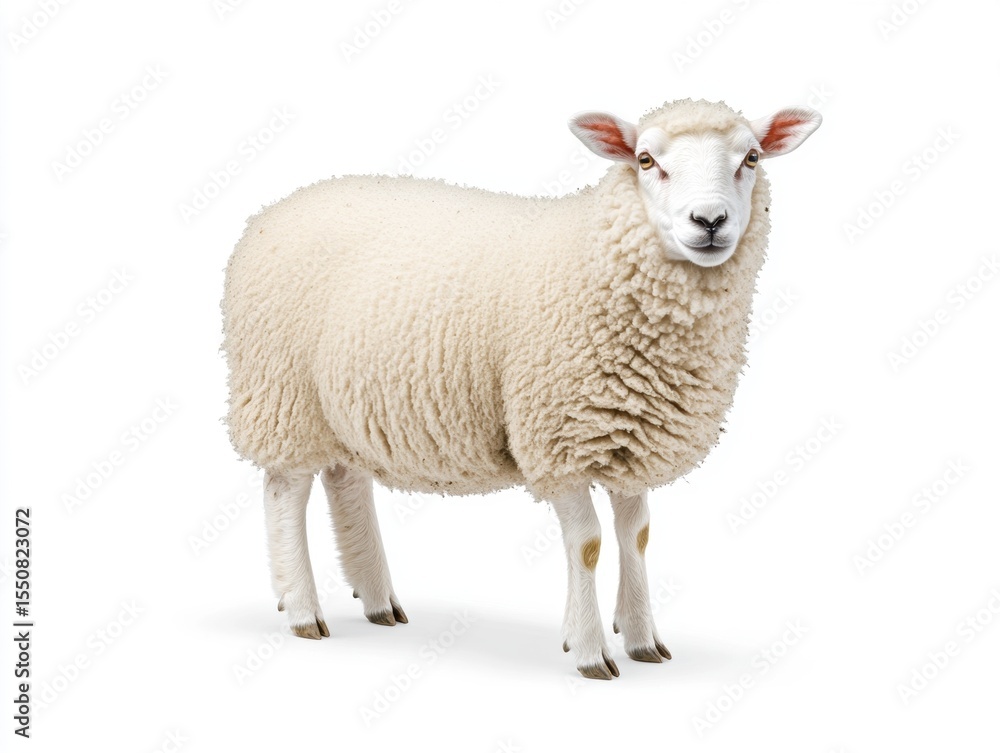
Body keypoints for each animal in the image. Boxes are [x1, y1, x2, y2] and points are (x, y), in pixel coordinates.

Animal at [222, 98, 821, 680]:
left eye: (751, 158)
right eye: (646, 160)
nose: (710, 220)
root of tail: (274, 209)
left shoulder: (631, 436)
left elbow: (637, 536)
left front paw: (642, 638)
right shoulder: (559, 436)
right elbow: (588, 545)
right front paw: (589, 650)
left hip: (341, 402)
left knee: (345, 479)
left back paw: (377, 600)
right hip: (283, 395)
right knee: (285, 492)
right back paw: (303, 610)